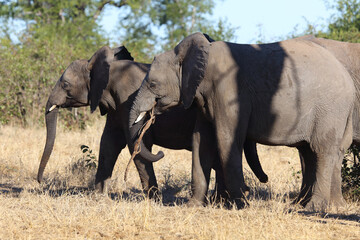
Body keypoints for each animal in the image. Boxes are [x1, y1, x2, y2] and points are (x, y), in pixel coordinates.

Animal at [37, 44, 268, 200]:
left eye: (65, 84)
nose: (39, 182)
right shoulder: (117, 109)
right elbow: (108, 145)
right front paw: (98, 196)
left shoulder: (126, 98)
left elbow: (135, 145)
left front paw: (154, 200)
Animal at [129, 32, 354, 211]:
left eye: (153, 84)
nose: (161, 153)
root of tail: (347, 78)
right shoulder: (205, 98)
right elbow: (201, 143)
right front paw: (192, 206)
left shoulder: (228, 90)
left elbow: (226, 139)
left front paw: (241, 205)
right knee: (311, 151)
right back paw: (311, 205)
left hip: (330, 109)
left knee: (321, 150)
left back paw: (314, 207)